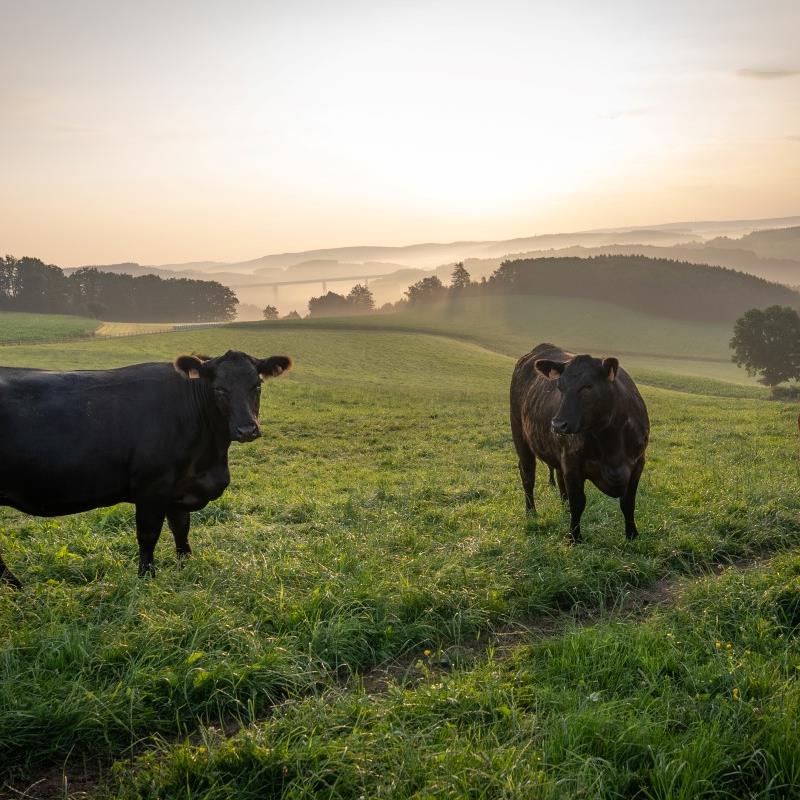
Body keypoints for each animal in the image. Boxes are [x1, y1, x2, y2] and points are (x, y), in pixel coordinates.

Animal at [0, 350, 292, 588]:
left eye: (257, 385)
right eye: (219, 389)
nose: (247, 429)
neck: (210, 458)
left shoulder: (179, 489)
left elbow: (181, 529)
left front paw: (186, 567)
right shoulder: (152, 487)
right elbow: (148, 534)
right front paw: (146, 577)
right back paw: (17, 587)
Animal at [512, 340, 648, 540]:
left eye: (588, 386)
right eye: (559, 387)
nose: (558, 424)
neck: (611, 442)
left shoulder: (638, 463)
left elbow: (628, 502)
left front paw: (632, 534)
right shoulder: (572, 464)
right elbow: (578, 502)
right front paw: (574, 537)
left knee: (558, 478)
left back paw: (564, 508)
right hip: (520, 436)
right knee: (528, 476)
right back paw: (531, 513)